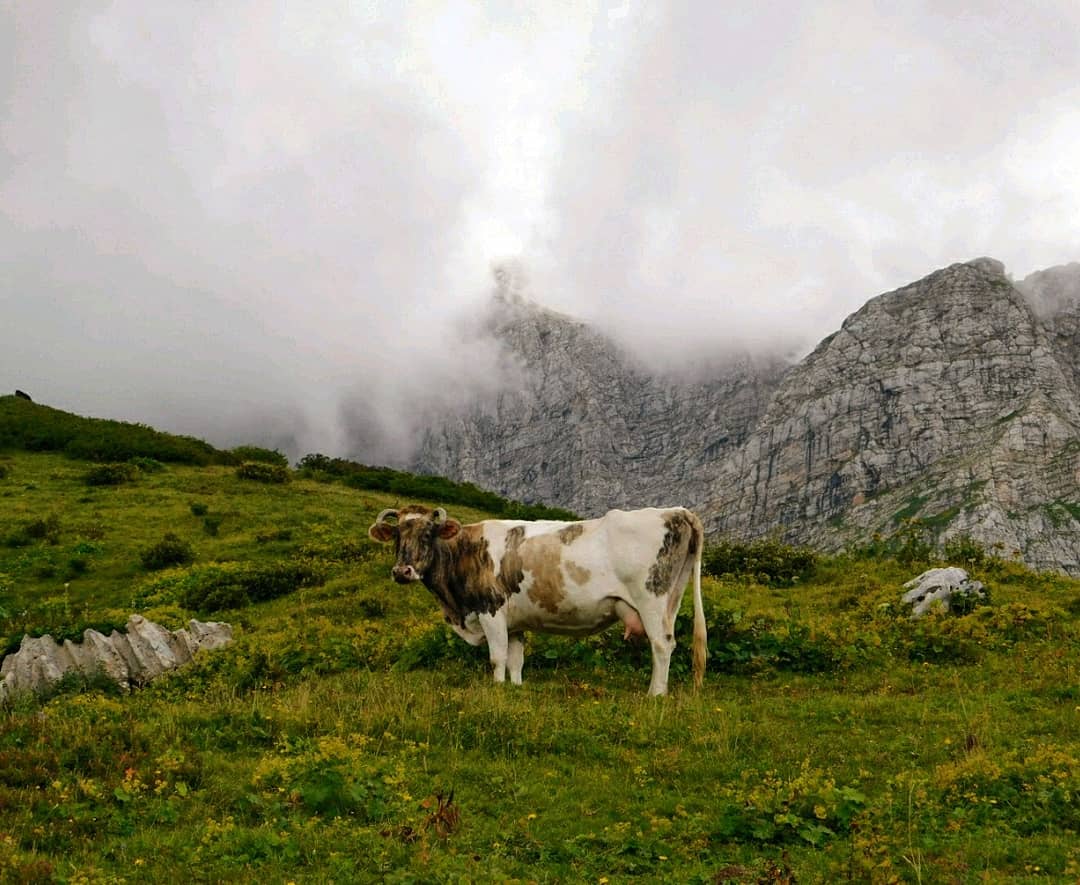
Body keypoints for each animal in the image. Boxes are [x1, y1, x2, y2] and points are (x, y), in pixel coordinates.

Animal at [371, 501, 708, 695]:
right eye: (397, 535)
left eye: (428, 533)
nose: (402, 571)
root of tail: (676, 511)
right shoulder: (515, 624)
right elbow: (515, 661)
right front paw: (515, 690)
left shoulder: (491, 610)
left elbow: (497, 657)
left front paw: (496, 690)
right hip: (672, 600)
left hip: (651, 597)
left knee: (661, 645)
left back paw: (656, 694)